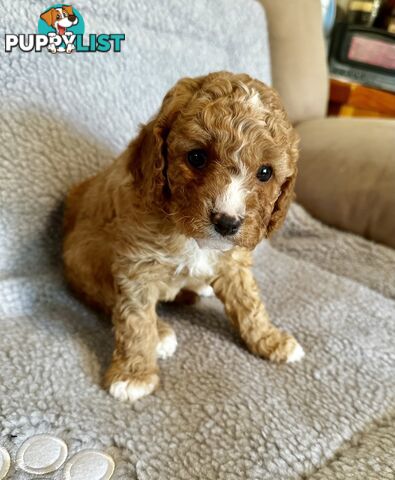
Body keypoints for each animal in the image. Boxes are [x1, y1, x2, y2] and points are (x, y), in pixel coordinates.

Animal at [63, 70, 304, 402]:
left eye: (265, 172)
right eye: (197, 157)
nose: (227, 222)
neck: (189, 236)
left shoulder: (233, 261)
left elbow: (249, 303)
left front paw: (270, 339)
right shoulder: (137, 265)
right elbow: (134, 319)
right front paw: (134, 374)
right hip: (81, 255)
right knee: (106, 297)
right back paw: (161, 333)